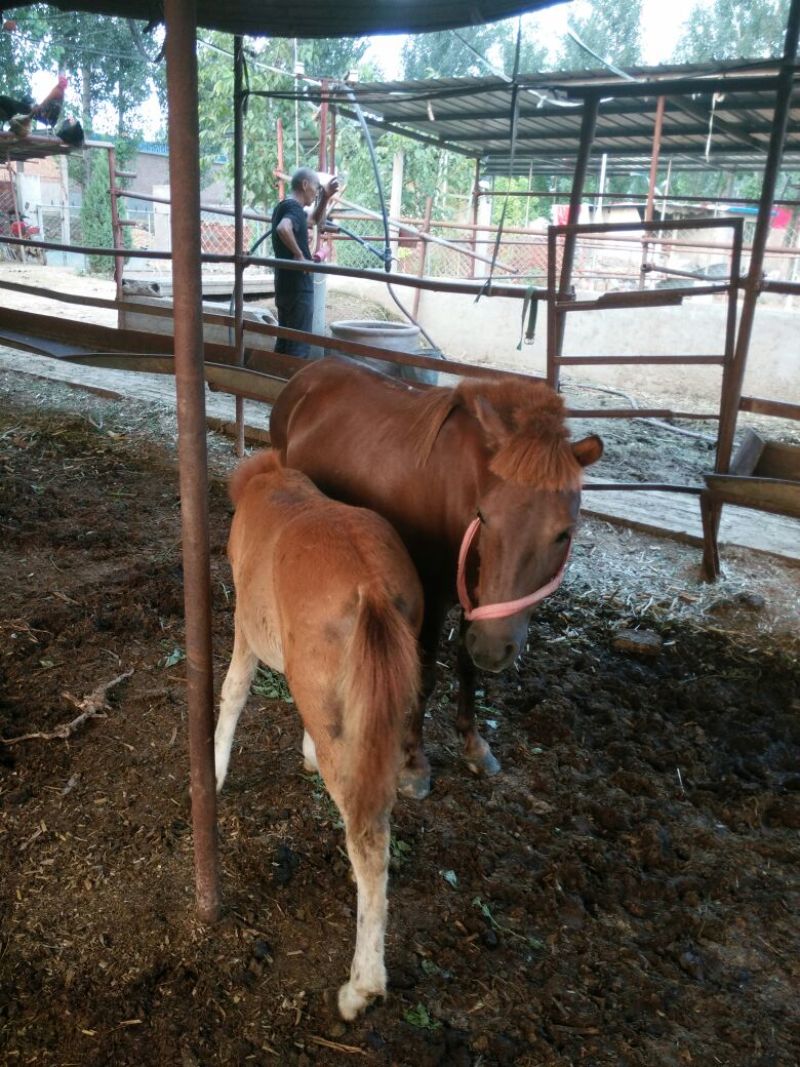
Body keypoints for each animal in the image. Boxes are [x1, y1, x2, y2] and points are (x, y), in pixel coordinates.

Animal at [214, 450, 422, 1020]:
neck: (273, 485)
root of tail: (373, 587)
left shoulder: (245, 624)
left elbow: (233, 691)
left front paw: (212, 774)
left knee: (368, 839)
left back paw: (361, 989)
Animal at [269, 357, 603, 799]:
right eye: (485, 516)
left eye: (564, 532)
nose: (495, 649)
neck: (466, 489)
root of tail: (309, 371)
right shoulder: (431, 597)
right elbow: (425, 678)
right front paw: (413, 764)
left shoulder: (479, 605)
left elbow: (467, 667)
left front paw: (474, 745)